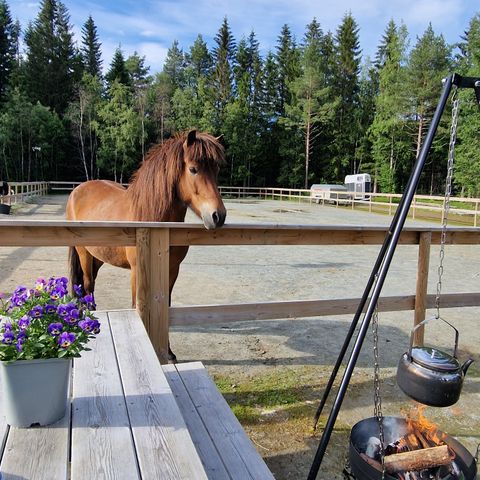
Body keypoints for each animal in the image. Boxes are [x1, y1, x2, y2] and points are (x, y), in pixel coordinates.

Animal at [65, 129, 227, 362]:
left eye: (216, 170)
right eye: (193, 169)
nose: (218, 216)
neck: (154, 221)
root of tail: (77, 191)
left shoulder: (172, 270)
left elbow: (166, 307)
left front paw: (169, 352)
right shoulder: (136, 271)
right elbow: (137, 307)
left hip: (99, 256)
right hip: (83, 253)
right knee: (87, 285)